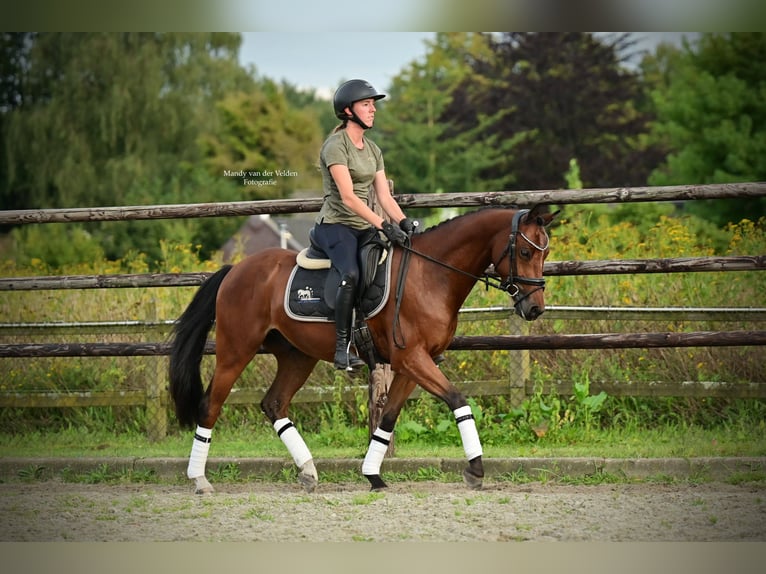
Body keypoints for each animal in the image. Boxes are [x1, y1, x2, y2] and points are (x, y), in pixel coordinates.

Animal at [170, 207, 560, 496]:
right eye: (525, 251)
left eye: (546, 252)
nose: (534, 309)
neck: (431, 275)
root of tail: (236, 269)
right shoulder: (412, 359)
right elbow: (458, 400)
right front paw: (476, 469)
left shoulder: (412, 364)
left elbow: (387, 418)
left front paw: (373, 474)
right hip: (236, 351)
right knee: (211, 406)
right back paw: (200, 479)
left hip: (297, 356)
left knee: (274, 404)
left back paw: (308, 472)